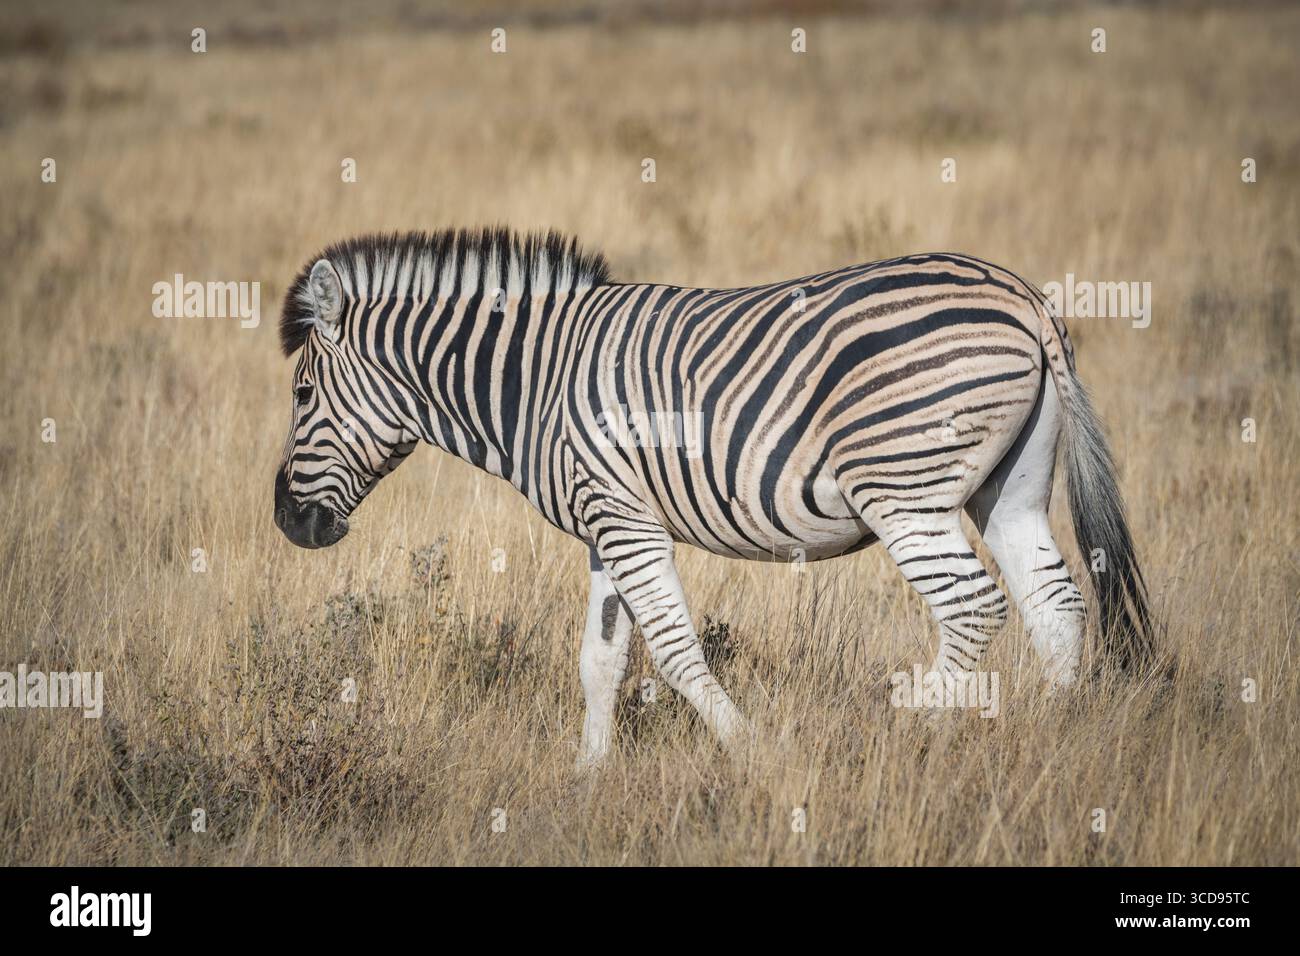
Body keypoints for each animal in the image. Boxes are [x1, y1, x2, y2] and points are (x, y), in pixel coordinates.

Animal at [273, 227, 1154, 766]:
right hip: (1009, 491)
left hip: (904, 493)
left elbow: (673, 649)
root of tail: (1025, 299)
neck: (535, 383)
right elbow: (601, 658)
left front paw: (755, 754)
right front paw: (589, 776)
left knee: (973, 606)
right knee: (1055, 605)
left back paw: (904, 735)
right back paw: (1050, 738)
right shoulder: (610, 521)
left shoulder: (625, 522)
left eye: (303, 394)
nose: (287, 522)